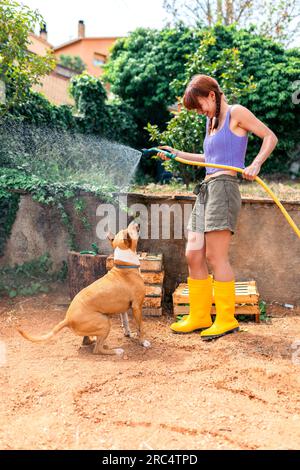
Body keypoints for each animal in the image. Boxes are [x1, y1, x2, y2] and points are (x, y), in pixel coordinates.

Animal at [18, 222, 150, 354]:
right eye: (130, 230)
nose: (136, 222)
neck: (125, 265)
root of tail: (68, 318)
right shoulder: (137, 307)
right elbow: (141, 327)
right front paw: (143, 342)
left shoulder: (123, 309)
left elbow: (126, 322)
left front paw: (129, 334)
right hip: (105, 322)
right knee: (97, 350)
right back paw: (116, 351)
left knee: (87, 341)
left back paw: (94, 340)